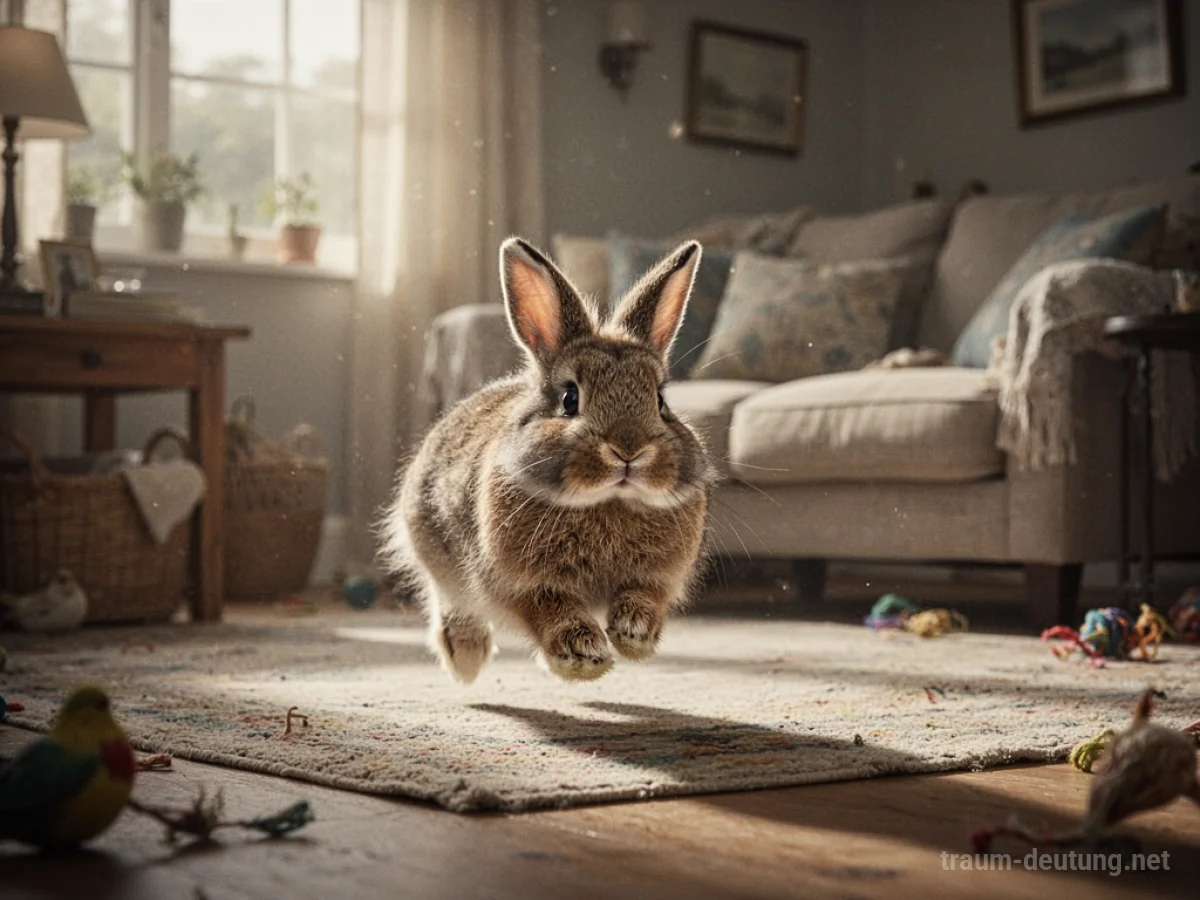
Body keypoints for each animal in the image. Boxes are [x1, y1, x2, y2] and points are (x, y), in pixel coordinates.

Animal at [380, 237, 716, 683]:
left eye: (660, 401)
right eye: (570, 398)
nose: (628, 449)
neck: (606, 502)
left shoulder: (657, 576)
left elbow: (644, 595)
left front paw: (633, 635)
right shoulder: (521, 583)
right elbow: (553, 609)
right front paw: (586, 656)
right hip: (435, 547)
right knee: (451, 601)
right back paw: (467, 659)